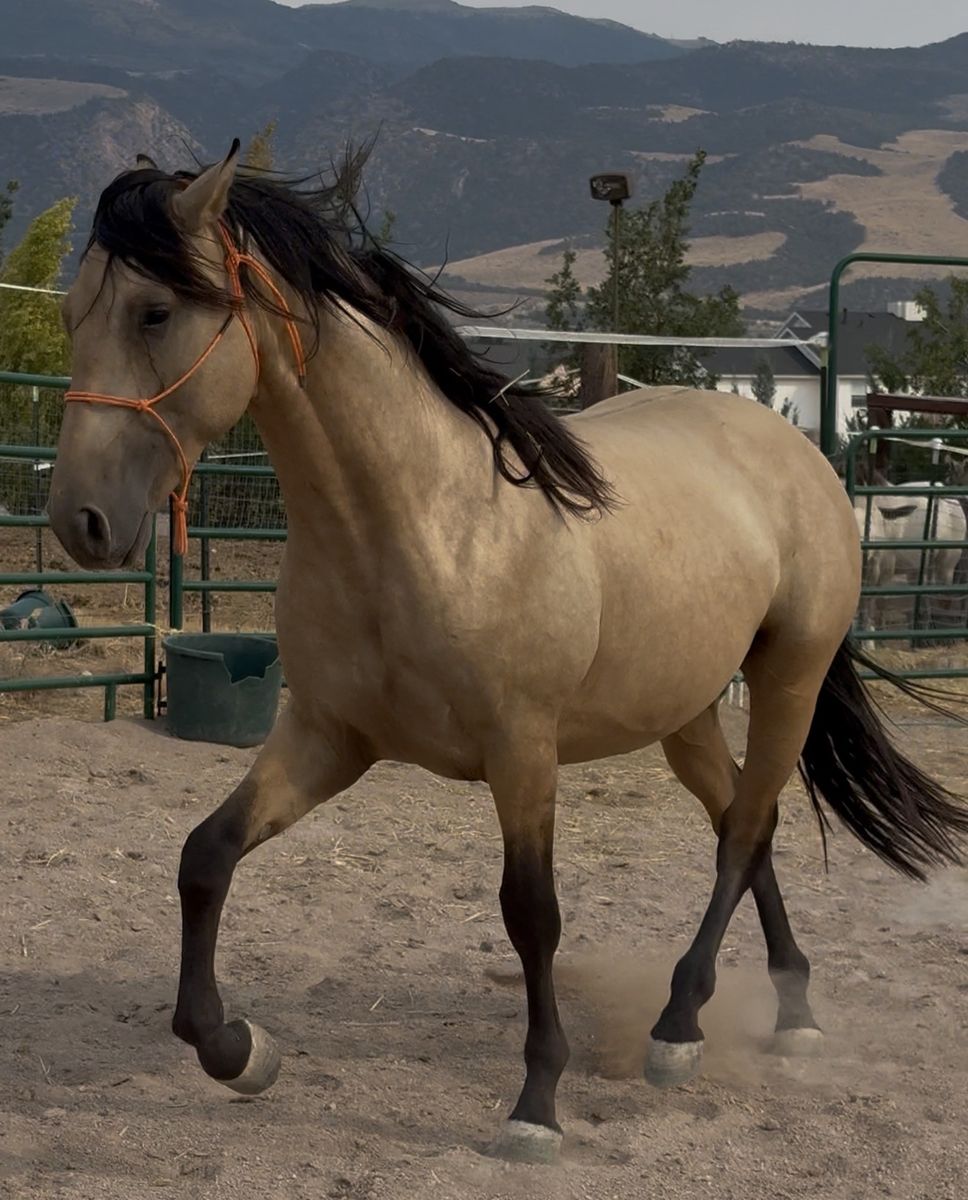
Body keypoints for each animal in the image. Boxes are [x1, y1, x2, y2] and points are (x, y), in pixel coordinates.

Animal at [46, 143, 968, 1163]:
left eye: (155, 312)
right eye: (70, 313)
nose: (80, 521)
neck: (423, 527)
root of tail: (797, 452)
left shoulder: (522, 753)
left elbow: (531, 914)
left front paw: (536, 1106)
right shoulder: (328, 738)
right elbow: (205, 856)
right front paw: (236, 1049)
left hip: (788, 678)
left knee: (742, 832)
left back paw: (678, 1031)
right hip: (683, 712)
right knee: (747, 821)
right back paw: (792, 1009)